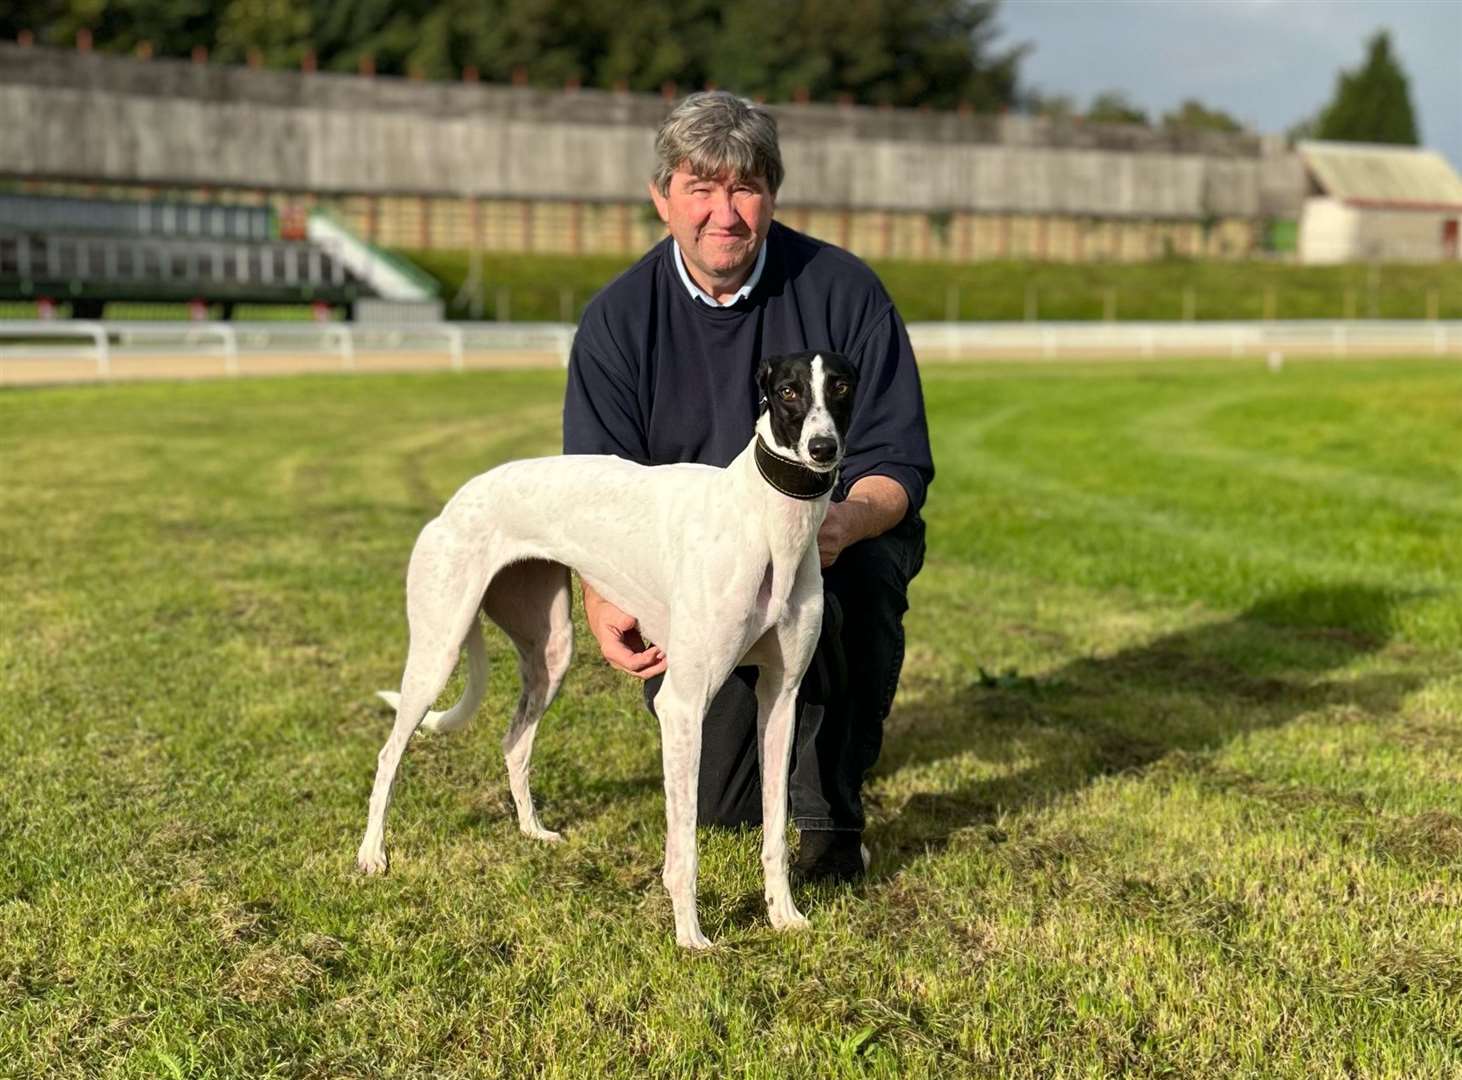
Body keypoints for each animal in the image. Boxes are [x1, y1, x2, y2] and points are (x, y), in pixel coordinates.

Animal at [358, 352, 853, 947]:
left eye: (841, 385)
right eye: (788, 391)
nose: (823, 449)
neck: (764, 517)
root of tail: (457, 500)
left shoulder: (781, 698)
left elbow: (776, 828)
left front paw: (784, 916)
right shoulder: (682, 707)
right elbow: (684, 846)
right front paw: (691, 937)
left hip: (551, 650)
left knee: (514, 742)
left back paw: (532, 831)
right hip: (438, 650)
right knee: (389, 753)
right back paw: (372, 855)